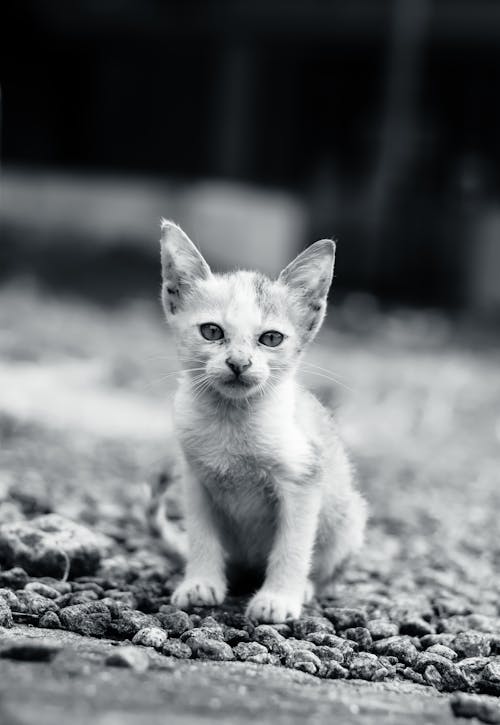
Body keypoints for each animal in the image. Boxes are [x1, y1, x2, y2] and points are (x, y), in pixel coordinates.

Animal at [158, 221, 366, 624]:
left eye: (271, 338)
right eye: (211, 331)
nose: (239, 363)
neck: (232, 420)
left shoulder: (304, 478)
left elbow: (293, 545)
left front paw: (279, 598)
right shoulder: (194, 478)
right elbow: (201, 534)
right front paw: (200, 583)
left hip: (350, 519)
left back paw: (305, 587)